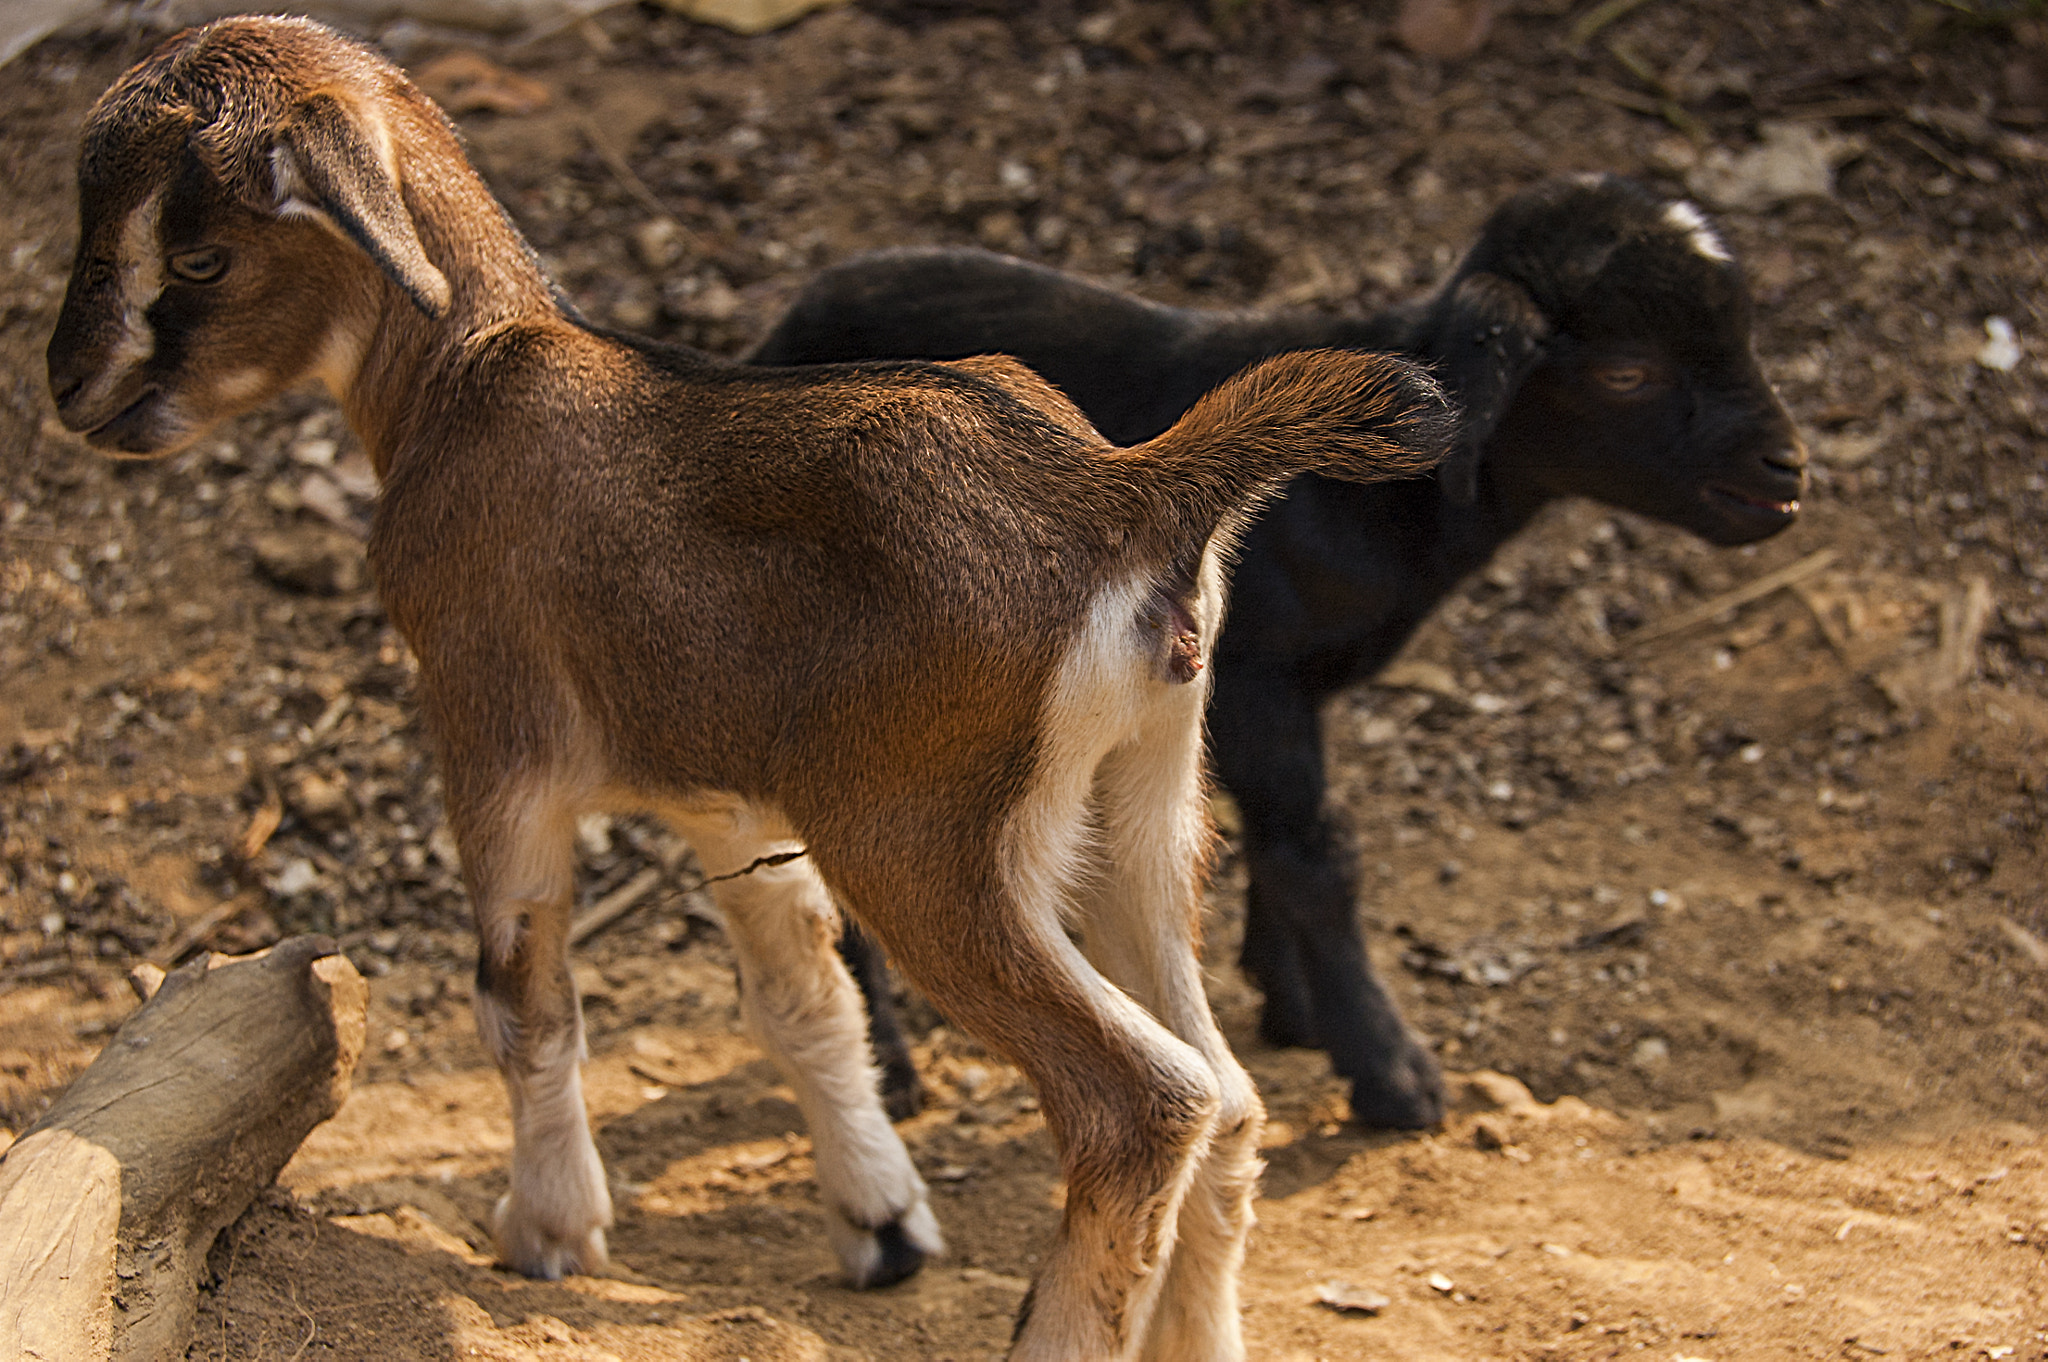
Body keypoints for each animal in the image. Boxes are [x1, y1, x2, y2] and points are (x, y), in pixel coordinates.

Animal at [45, 19, 1454, 1358]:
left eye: (200, 257)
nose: (69, 390)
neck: (466, 385)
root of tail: (1126, 492)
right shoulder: (723, 798)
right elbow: (801, 998)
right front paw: (880, 1225)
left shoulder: (492, 740)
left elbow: (525, 1000)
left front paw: (548, 1232)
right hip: (1140, 810)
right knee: (1229, 1092)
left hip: (931, 843)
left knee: (1144, 1100)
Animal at [751, 174, 1807, 1131]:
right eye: (1626, 371)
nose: (1788, 471)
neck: (1378, 503)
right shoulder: (1258, 680)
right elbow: (1318, 855)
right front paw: (1390, 1070)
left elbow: (1271, 840)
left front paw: (1290, 1003)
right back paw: (890, 1068)